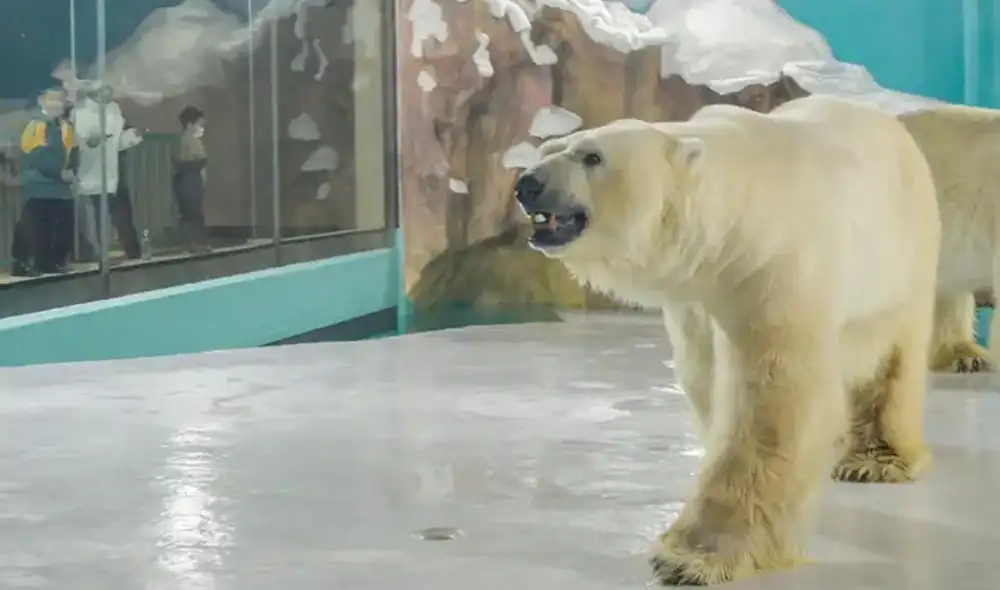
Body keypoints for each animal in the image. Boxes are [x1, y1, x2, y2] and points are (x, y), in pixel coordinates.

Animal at [512, 95, 940, 586]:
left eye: (593, 157)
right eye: (550, 148)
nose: (527, 184)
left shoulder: (774, 269)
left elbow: (772, 401)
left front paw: (692, 557)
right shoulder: (697, 295)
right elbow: (705, 376)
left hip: (901, 255)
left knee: (894, 354)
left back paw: (877, 458)